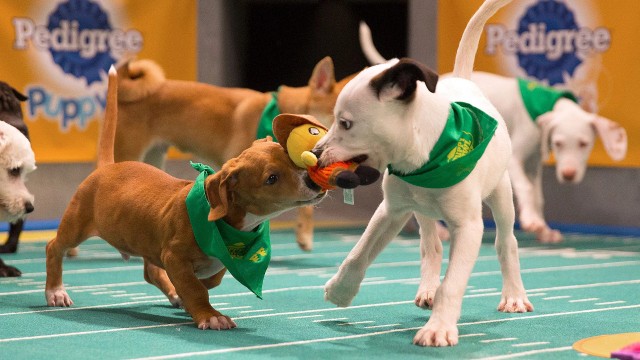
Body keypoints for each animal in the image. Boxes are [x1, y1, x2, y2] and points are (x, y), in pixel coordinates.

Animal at [46, 67, 324, 330]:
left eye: (291, 158)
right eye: (271, 178)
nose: (312, 181)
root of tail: (107, 166)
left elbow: (210, 278)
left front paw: (190, 294)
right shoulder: (174, 256)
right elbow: (195, 287)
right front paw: (209, 315)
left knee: (150, 272)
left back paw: (172, 293)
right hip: (77, 224)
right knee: (55, 247)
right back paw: (55, 292)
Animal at [314, 0, 528, 348]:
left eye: (345, 123)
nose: (316, 154)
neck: (423, 158)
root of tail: (464, 81)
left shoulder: (468, 227)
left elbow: (453, 283)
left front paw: (438, 327)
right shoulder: (391, 211)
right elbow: (358, 254)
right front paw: (341, 290)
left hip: (501, 195)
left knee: (506, 242)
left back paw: (514, 296)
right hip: (421, 211)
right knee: (431, 245)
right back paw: (428, 287)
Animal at [360, 21, 632, 245]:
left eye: (584, 144)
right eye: (558, 143)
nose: (568, 174)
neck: (548, 103)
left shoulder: (534, 162)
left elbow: (537, 195)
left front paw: (544, 229)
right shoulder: (517, 158)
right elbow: (526, 189)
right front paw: (532, 221)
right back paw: (437, 230)